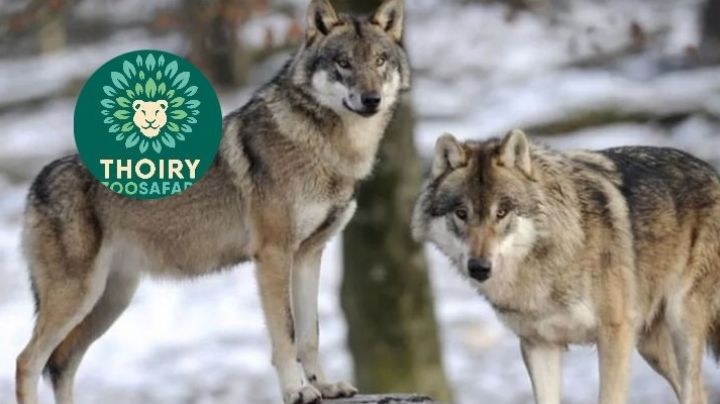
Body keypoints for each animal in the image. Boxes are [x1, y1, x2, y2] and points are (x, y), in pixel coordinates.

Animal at [15, 1, 409, 403]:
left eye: (379, 60)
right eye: (343, 62)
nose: (372, 99)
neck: (329, 150)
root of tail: (36, 184)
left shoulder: (309, 255)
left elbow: (310, 334)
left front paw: (325, 386)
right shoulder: (273, 255)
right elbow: (286, 334)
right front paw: (296, 391)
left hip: (110, 300)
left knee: (63, 361)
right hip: (79, 298)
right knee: (28, 361)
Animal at [412, 129, 720, 404]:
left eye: (501, 212)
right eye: (461, 213)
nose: (479, 267)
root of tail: (711, 170)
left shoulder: (615, 333)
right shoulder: (539, 344)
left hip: (681, 322)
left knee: (694, 390)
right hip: (650, 346)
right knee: (699, 390)